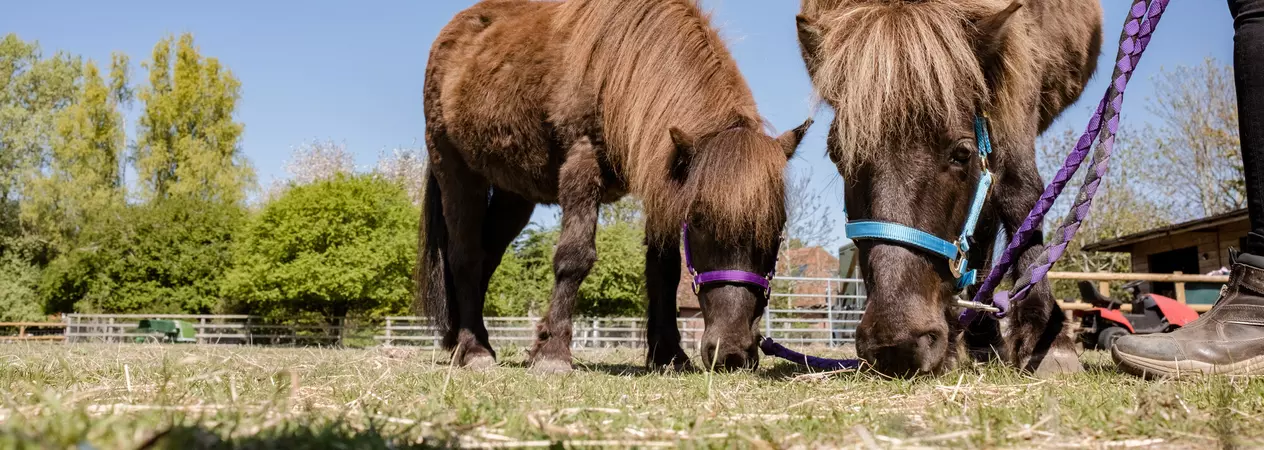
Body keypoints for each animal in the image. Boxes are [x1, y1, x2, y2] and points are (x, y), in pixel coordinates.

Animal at [419, 0, 812, 372]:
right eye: (698, 221)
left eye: (777, 230)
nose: (732, 353)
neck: (623, 66)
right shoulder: (582, 165)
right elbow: (574, 257)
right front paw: (553, 353)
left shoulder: (661, 178)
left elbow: (663, 269)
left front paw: (668, 354)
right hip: (454, 170)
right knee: (466, 256)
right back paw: (474, 349)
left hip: (513, 195)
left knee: (487, 257)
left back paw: (461, 340)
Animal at [796, 0, 1103, 376]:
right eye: (837, 154)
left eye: (961, 153)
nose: (897, 343)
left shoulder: (1020, 75)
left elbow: (1021, 193)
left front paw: (1046, 333)